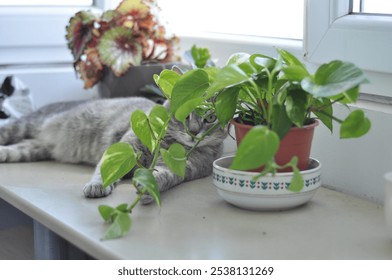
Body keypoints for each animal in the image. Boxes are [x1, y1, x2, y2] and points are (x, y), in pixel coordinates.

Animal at [0, 97, 227, 202]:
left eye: (210, 118)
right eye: (184, 114)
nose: (194, 132)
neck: (171, 145)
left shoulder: (181, 167)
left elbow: (163, 175)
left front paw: (148, 188)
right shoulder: (126, 147)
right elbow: (105, 171)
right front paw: (97, 186)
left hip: (31, 148)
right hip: (24, 126)